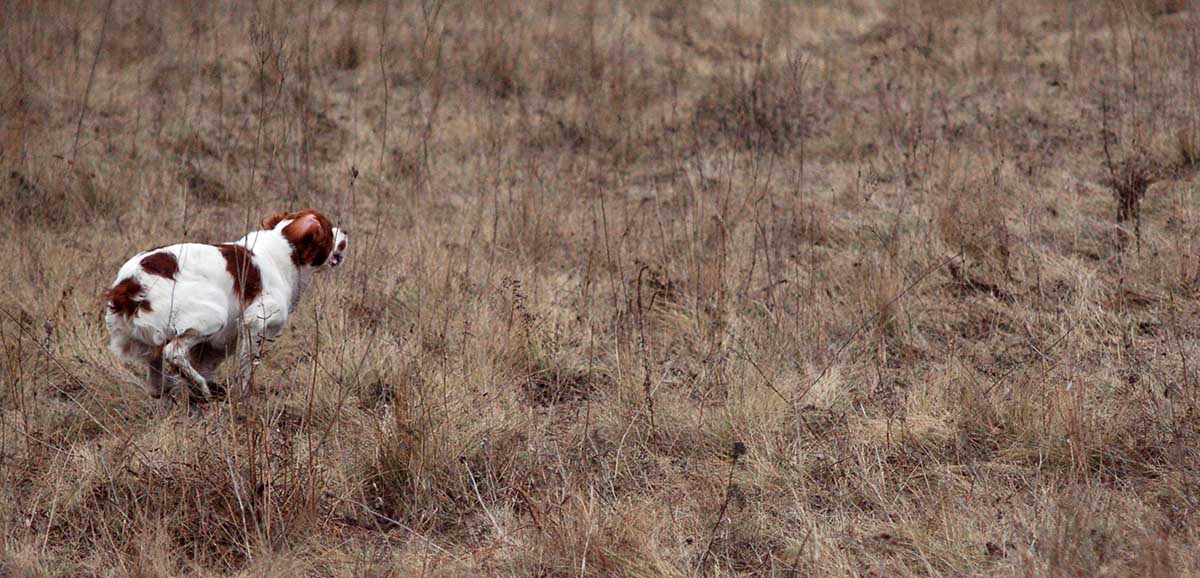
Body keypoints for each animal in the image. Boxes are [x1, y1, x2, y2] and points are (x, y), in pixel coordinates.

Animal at [103, 208, 350, 402]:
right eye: (329, 231)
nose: (345, 232)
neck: (286, 248)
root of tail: (128, 284)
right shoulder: (254, 321)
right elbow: (248, 366)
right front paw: (245, 396)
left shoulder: (218, 344)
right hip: (213, 314)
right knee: (173, 352)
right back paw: (201, 388)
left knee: (157, 381)